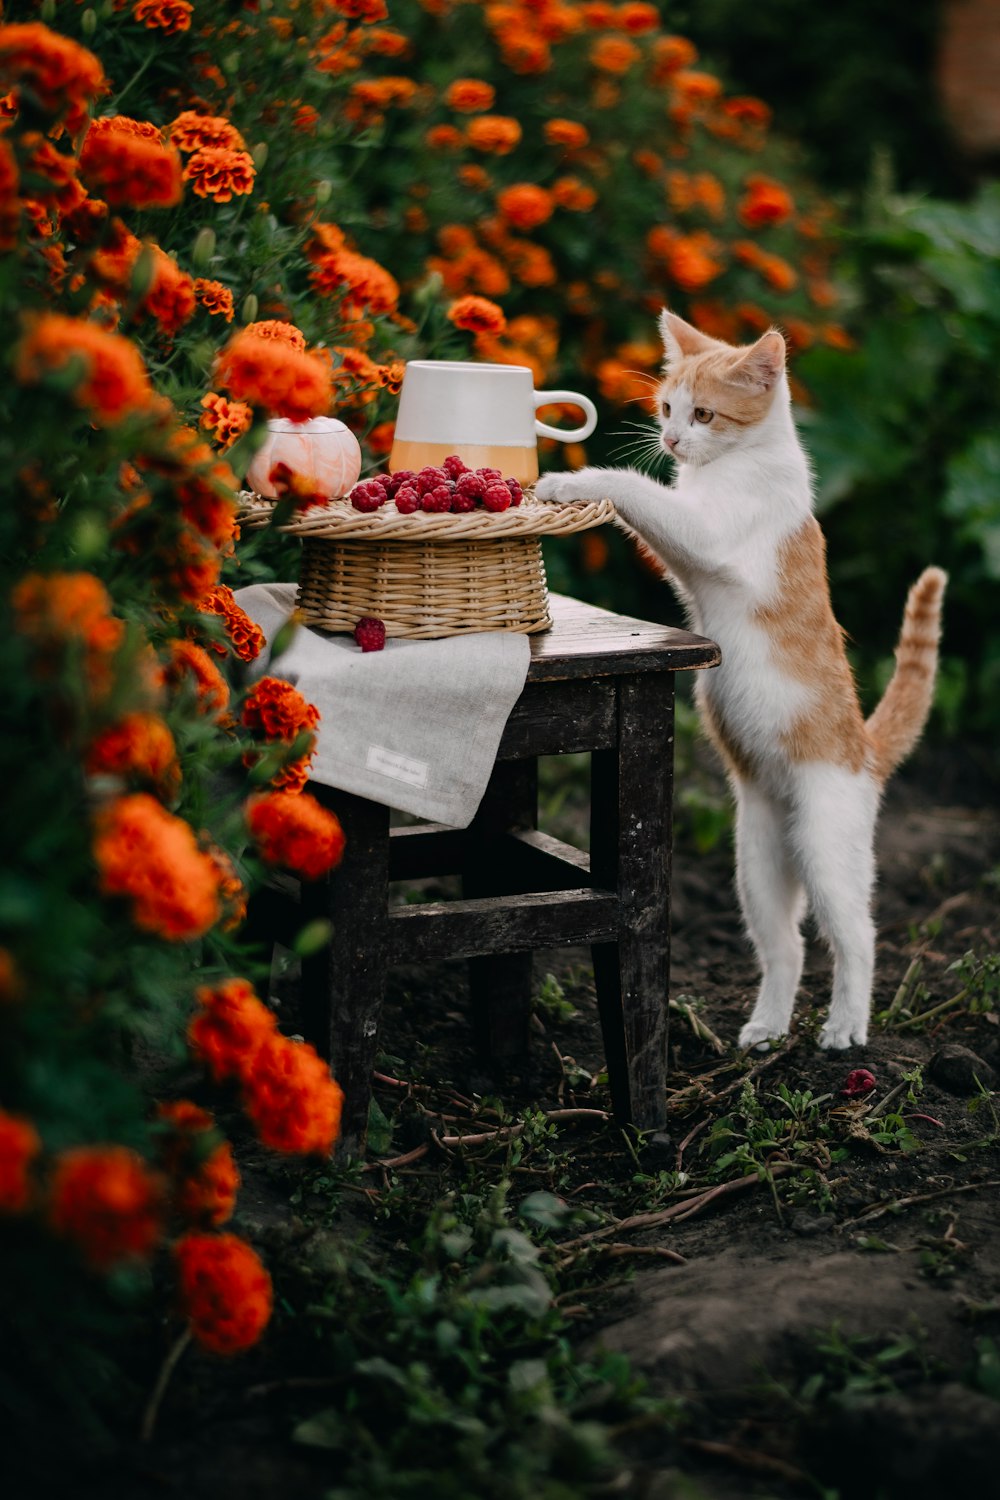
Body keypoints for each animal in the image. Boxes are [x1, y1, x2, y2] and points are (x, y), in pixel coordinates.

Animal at [539, 310, 947, 1050]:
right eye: (666, 410)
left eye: (704, 414)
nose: (671, 439)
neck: (740, 460)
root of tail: (864, 751)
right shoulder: (685, 550)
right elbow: (652, 512)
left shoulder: (707, 535)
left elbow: (634, 487)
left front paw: (573, 482)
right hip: (755, 862)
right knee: (786, 945)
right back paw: (767, 1028)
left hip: (826, 845)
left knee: (857, 936)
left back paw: (846, 1027)